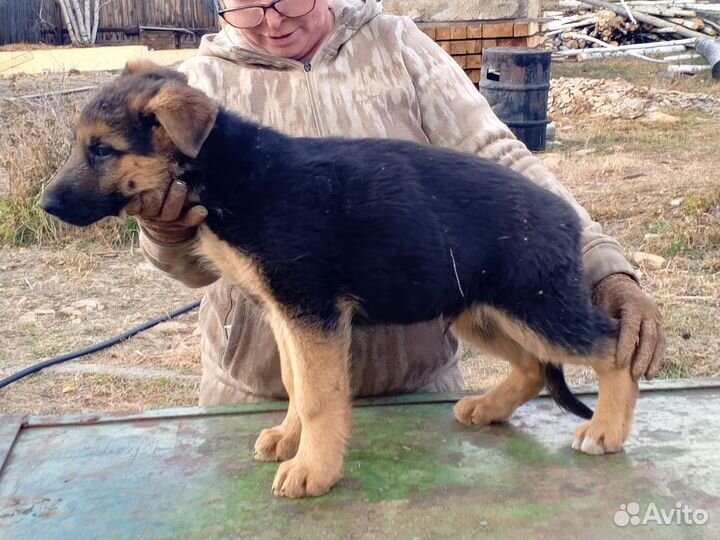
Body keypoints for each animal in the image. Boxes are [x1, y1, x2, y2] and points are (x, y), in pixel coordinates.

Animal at [40, 60, 636, 498]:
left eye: (102, 149)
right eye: (82, 145)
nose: (43, 205)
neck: (231, 172)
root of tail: (567, 218)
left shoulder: (311, 310)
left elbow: (319, 396)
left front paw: (313, 470)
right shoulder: (286, 313)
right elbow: (297, 384)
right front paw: (290, 439)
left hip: (536, 307)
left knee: (612, 350)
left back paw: (605, 430)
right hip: (480, 310)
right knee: (534, 366)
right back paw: (489, 408)